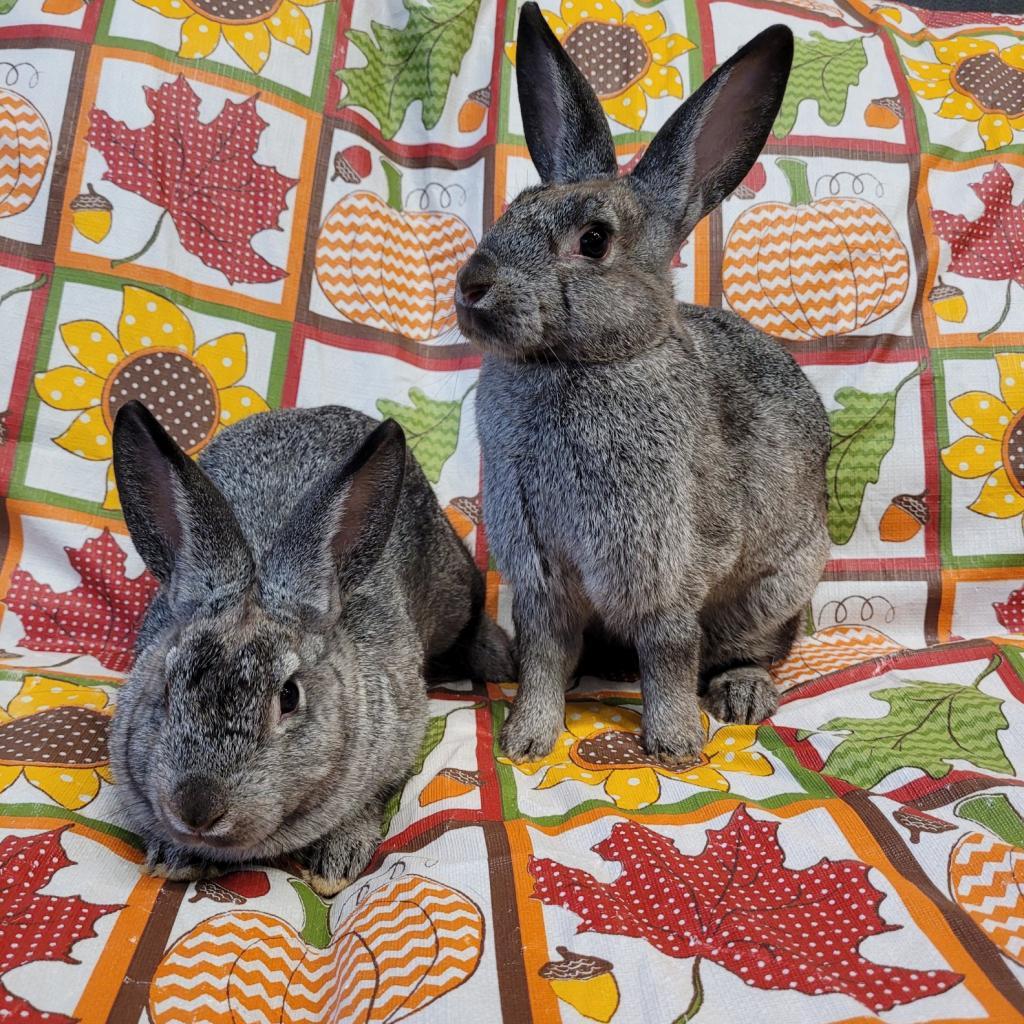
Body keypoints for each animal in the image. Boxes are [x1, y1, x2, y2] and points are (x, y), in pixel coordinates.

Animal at [109, 400, 513, 896]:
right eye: (166, 689)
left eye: (289, 697)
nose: (197, 809)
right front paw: (176, 859)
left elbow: (367, 803)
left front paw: (335, 864)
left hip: (450, 588)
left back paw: (499, 658)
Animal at [454, 4, 830, 767]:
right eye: (514, 208)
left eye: (594, 241)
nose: (471, 284)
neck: (575, 362)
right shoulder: (540, 571)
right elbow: (543, 655)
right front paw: (526, 739)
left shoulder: (668, 565)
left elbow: (669, 651)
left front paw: (676, 746)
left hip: (776, 586)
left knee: (754, 648)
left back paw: (741, 695)